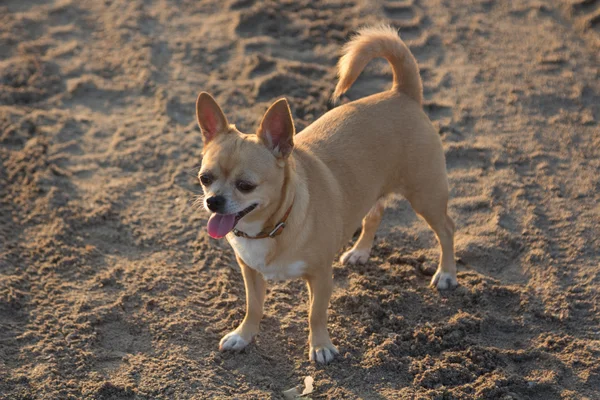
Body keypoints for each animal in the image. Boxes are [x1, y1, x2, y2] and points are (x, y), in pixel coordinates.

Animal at [195, 24, 458, 362]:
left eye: (246, 185)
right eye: (205, 178)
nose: (213, 201)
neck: (271, 228)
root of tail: (401, 92)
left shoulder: (320, 277)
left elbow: (315, 314)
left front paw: (320, 346)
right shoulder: (250, 273)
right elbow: (253, 308)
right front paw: (244, 336)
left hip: (425, 196)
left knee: (446, 230)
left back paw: (447, 273)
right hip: (376, 189)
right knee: (375, 214)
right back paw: (360, 251)